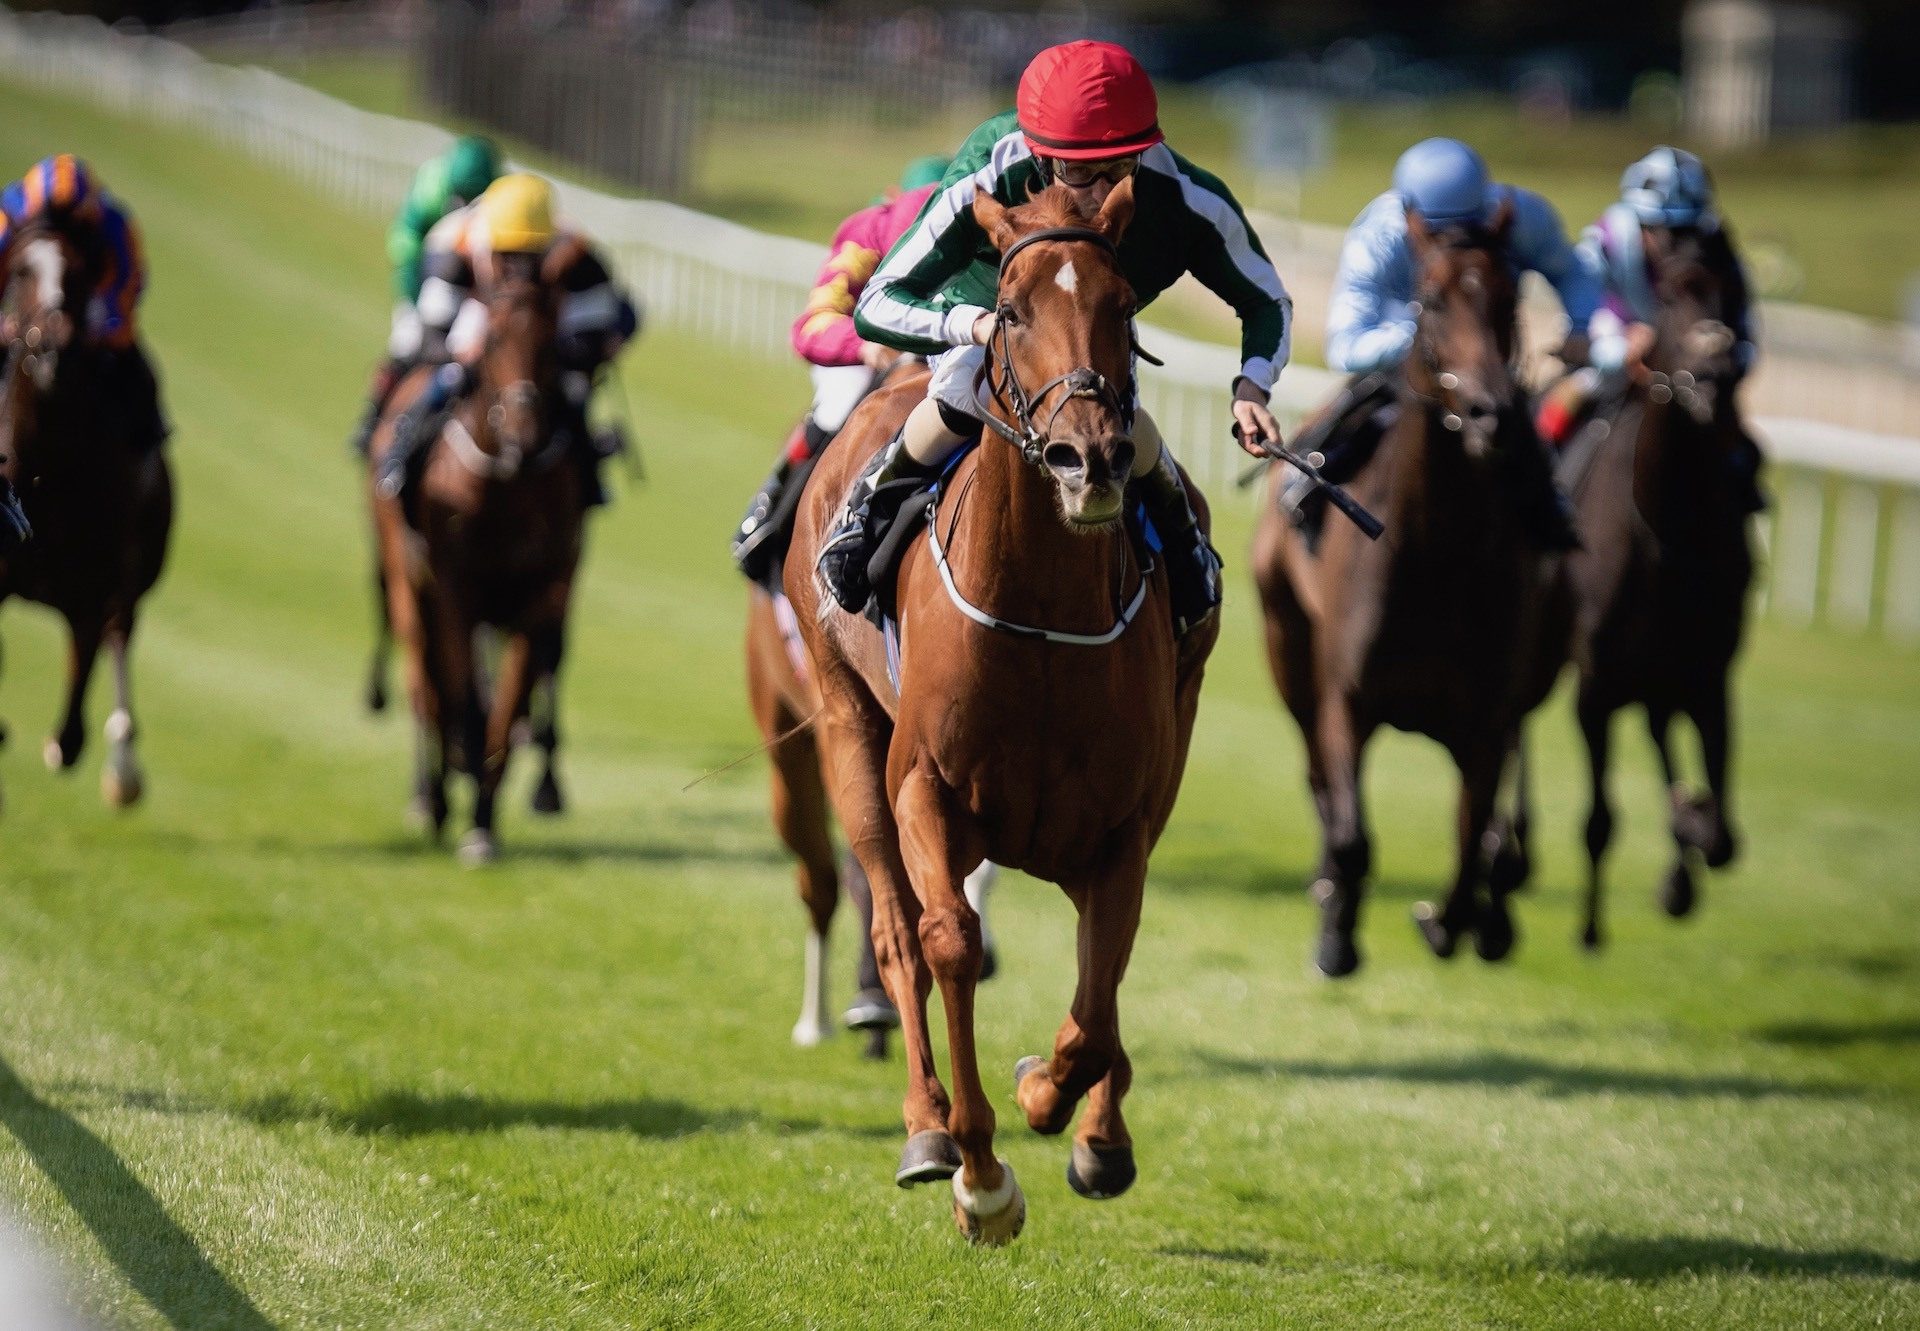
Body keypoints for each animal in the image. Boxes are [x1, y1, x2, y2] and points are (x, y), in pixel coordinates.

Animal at [0, 224, 170, 814]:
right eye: (21, 269)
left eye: (78, 274)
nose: (54, 342)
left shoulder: (95, 587)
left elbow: (74, 713)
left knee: (120, 634)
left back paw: (123, 764)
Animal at [370, 255, 579, 868]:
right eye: (494, 337)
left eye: (553, 341)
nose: (525, 434)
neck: (505, 487)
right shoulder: (452, 588)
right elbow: (461, 699)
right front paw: (453, 798)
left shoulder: (542, 594)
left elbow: (506, 713)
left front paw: (484, 823)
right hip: (405, 579)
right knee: (425, 687)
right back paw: (431, 797)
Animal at [783, 179, 1213, 1244]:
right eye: (1011, 311)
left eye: (1124, 307)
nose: (1089, 457)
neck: (1042, 614)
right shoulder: (925, 788)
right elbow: (946, 940)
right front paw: (980, 1171)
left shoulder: (1121, 823)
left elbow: (1098, 1001)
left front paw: (1060, 1105)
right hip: (845, 722)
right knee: (896, 927)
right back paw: (926, 1125)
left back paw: (1097, 1128)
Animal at [1244, 205, 1574, 975]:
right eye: (1432, 300)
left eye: (1511, 300)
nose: (1489, 413)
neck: (1436, 556)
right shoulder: (1346, 697)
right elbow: (1350, 830)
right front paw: (1336, 934)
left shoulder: (1488, 718)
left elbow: (1471, 835)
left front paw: (1451, 920)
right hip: (1286, 646)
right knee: (1317, 777)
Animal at [1559, 220, 1758, 944]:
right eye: (1669, 293)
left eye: (1733, 290)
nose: (1717, 371)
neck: (1669, 529)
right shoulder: (1595, 679)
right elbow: (1598, 818)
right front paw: (1589, 928)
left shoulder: (1708, 672)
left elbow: (1724, 831)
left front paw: (1689, 835)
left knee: (1660, 730)